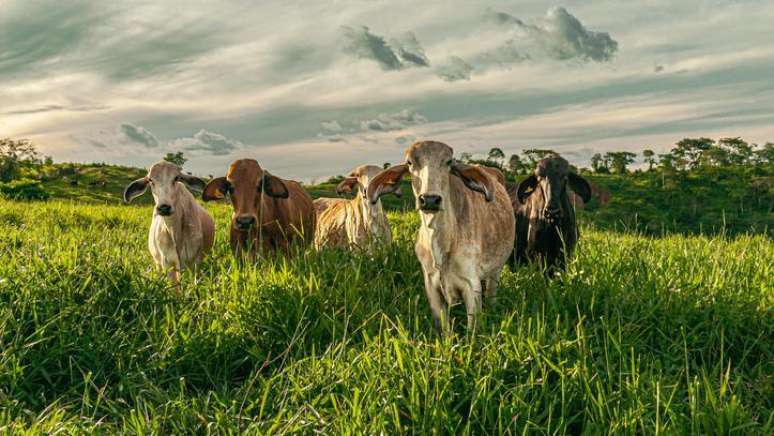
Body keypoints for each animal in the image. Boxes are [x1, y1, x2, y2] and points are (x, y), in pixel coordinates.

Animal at [123, 161, 215, 290]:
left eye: (176, 178)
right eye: (150, 180)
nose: (164, 207)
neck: (175, 232)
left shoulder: (195, 261)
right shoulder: (168, 264)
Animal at [368, 141, 516, 334]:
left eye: (449, 162)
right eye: (409, 163)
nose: (430, 199)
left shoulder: (472, 286)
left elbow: (472, 333)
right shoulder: (432, 287)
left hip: (496, 270)